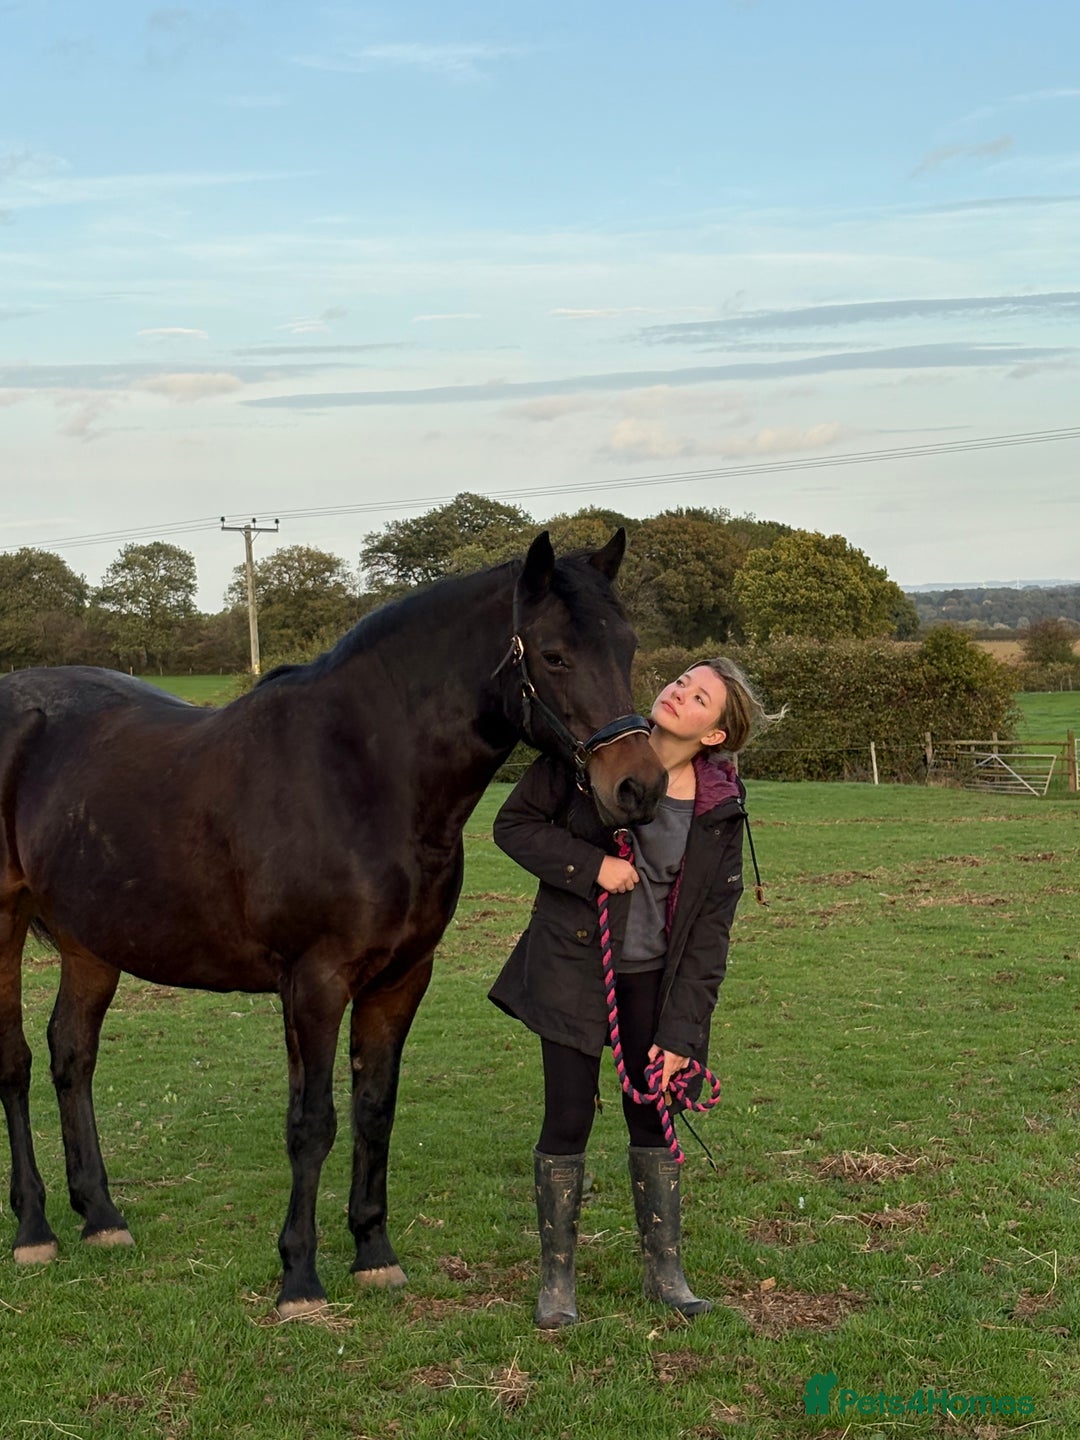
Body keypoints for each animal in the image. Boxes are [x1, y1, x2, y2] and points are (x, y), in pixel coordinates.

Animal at [0, 529, 666, 1316]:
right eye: (556, 654)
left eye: (626, 646)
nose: (640, 787)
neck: (361, 776)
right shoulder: (314, 983)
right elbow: (312, 1122)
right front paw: (299, 1277)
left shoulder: (400, 980)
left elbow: (374, 1109)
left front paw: (375, 1254)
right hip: (6, 925)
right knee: (14, 1063)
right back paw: (34, 1229)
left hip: (92, 941)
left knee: (71, 1054)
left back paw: (101, 1216)